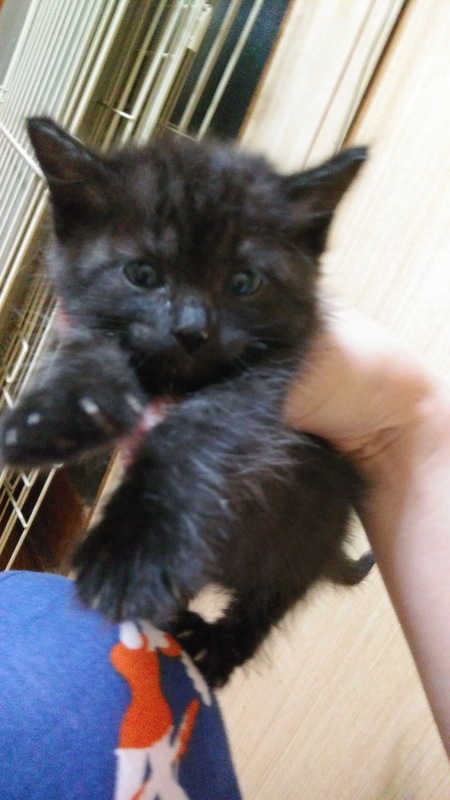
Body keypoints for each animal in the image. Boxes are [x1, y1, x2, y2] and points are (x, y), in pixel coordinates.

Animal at [0, 118, 372, 687]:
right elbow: (88, 351)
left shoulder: (280, 381)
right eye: (142, 275)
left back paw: (213, 647)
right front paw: (53, 412)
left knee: (268, 601)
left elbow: (199, 431)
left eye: (244, 282)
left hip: (307, 534)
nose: (192, 330)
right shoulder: (84, 322)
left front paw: (131, 549)